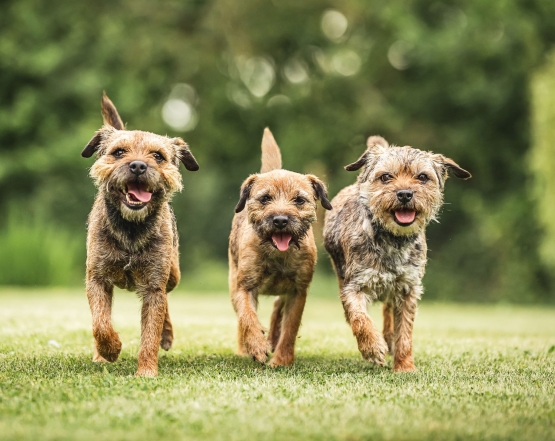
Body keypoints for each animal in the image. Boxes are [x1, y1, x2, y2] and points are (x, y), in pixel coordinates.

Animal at [80, 92, 198, 374]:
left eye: (158, 156)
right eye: (119, 152)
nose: (137, 166)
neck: (131, 230)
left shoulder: (154, 285)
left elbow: (150, 334)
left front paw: (146, 372)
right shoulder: (97, 279)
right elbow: (100, 323)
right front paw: (110, 350)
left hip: (173, 274)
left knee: (166, 301)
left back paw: (167, 334)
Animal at [228, 129, 332, 366]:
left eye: (299, 200)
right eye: (265, 198)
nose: (281, 220)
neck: (277, 255)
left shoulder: (298, 292)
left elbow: (290, 327)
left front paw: (282, 359)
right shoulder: (244, 287)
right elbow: (247, 317)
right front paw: (257, 346)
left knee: (277, 309)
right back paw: (246, 347)